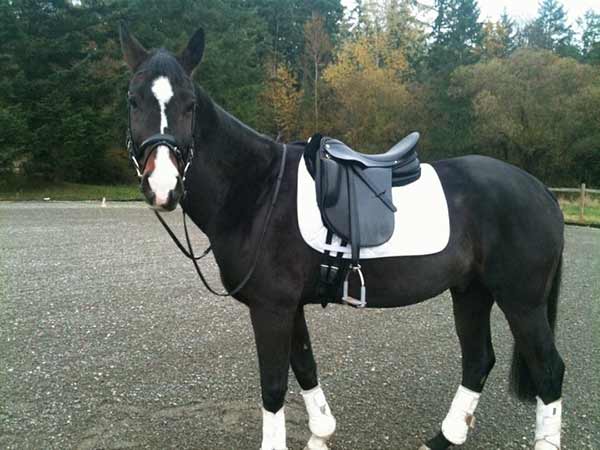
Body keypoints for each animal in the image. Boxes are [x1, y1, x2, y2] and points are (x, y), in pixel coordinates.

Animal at [119, 25, 564, 450]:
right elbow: (305, 367)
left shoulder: (271, 308)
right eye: (133, 100)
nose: (163, 187)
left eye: (189, 104)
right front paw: (321, 434)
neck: (258, 190)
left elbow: (274, 386)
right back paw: (441, 439)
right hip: (472, 291)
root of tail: (540, 190)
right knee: (478, 361)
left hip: (521, 302)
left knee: (548, 370)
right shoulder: (288, 306)